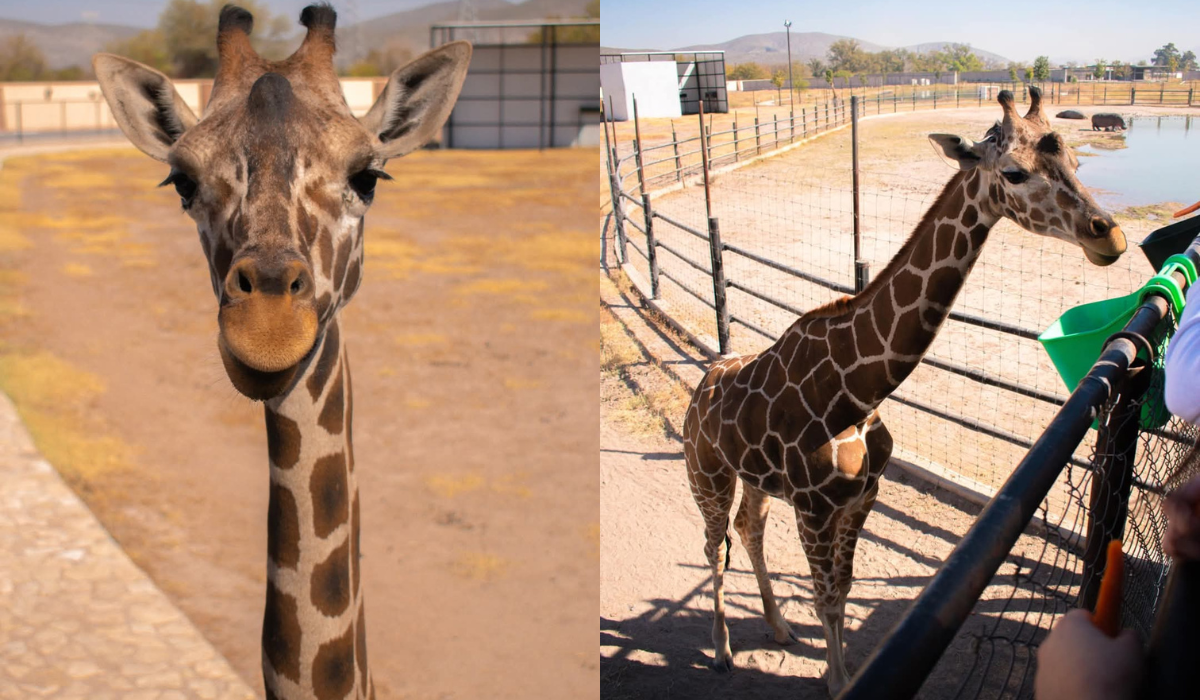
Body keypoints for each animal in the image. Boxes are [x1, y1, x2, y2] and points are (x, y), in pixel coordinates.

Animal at [681, 87, 1128, 696]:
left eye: (1077, 162)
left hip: (755, 480)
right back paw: (723, 650)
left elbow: (843, 589)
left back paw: (776, 627)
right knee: (713, 545)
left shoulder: (863, 496)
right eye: (1013, 172)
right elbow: (826, 595)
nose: (1109, 236)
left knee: (749, 530)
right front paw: (839, 681)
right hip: (707, 474)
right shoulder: (815, 508)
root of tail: (702, 383)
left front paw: (835, 668)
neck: (857, 390)